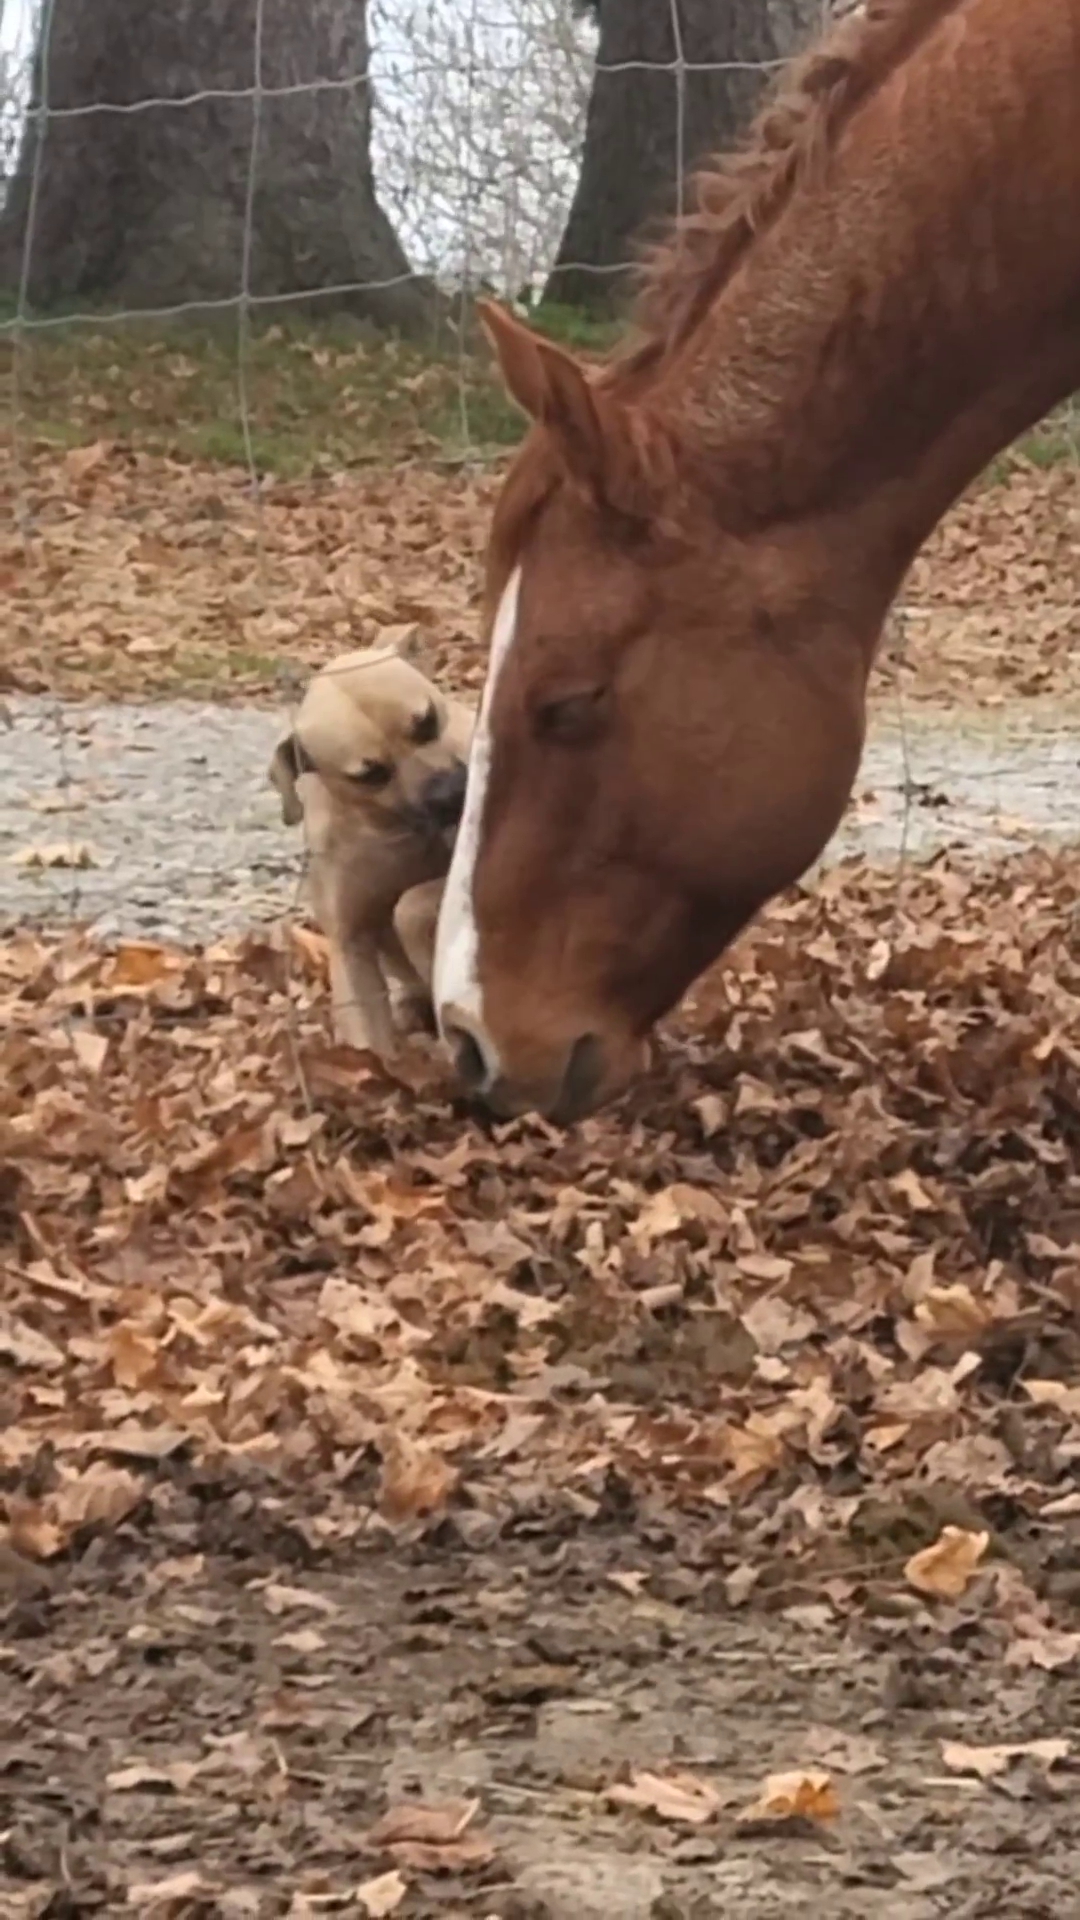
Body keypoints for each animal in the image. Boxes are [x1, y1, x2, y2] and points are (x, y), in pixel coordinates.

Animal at [267, 648, 468, 1067]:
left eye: (426, 722)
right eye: (371, 774)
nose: (453, 793)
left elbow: (411, 905)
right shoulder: (350, 943)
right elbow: (365, 1034)